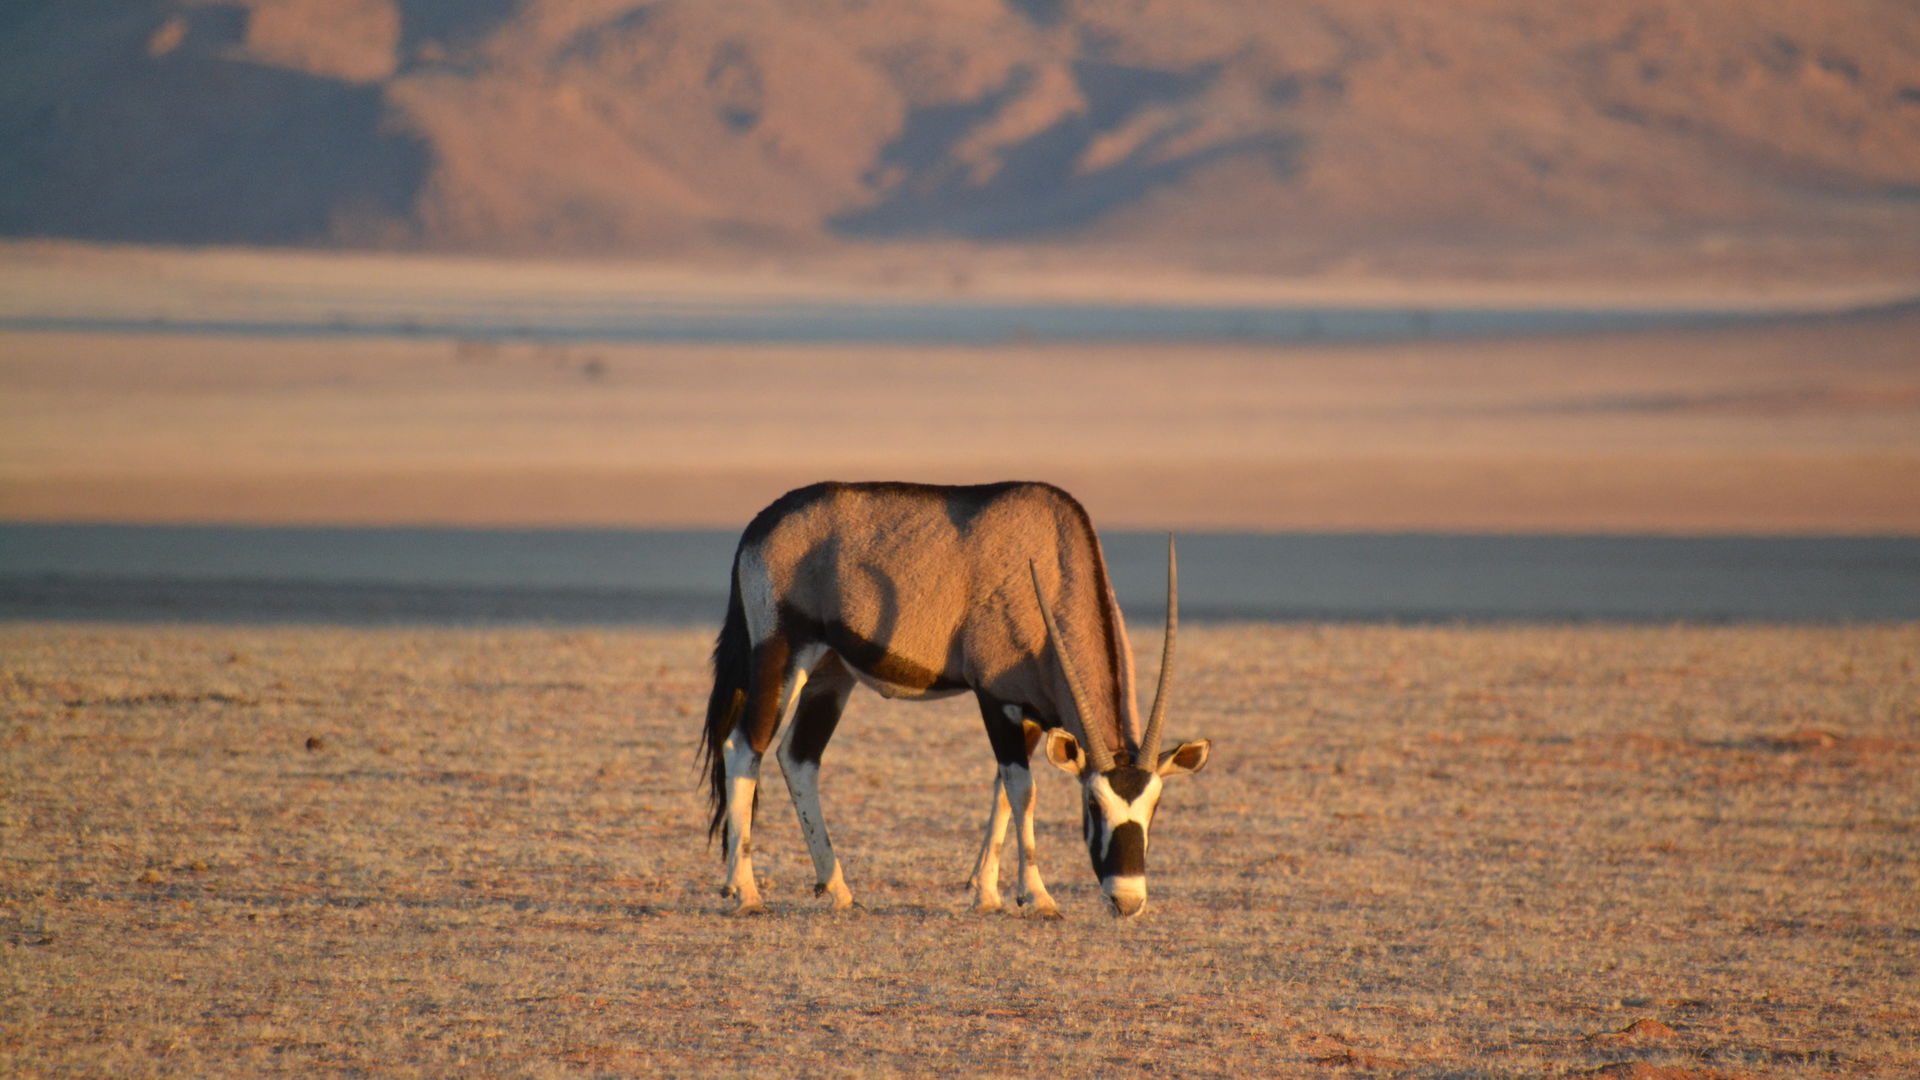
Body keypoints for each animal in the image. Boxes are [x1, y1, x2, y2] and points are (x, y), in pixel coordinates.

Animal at [698, 484, 1205, 910]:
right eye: (1094, 805)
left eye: (1154, 806)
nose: (1127, 900)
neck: (1052, 559)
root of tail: (760, 527)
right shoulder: (994, 698)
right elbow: (1022, 789)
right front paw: (1036, 898)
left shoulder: (1030, 714)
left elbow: (1003, 789)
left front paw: (985, 893)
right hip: (781, 655)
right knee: (745, 747)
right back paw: (745, 892)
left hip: (831, 673)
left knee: (799, 757)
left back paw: (837, 889)